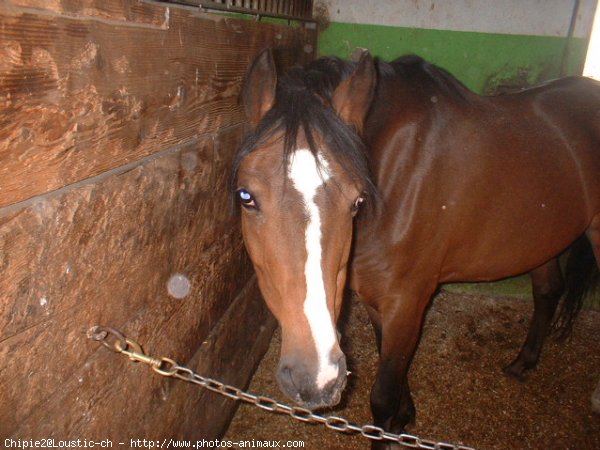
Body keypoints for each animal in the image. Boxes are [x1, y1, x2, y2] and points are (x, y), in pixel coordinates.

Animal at [230, 49, 600, 446]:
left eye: (357, 201)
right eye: (246, 197)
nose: (316, 378)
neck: (397, 177)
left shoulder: (407, 302)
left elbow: (382, 395)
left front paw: (390, 426)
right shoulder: (380, 301)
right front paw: (404, 418)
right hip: (539, 240)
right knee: (548, 291)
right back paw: (523, 362)